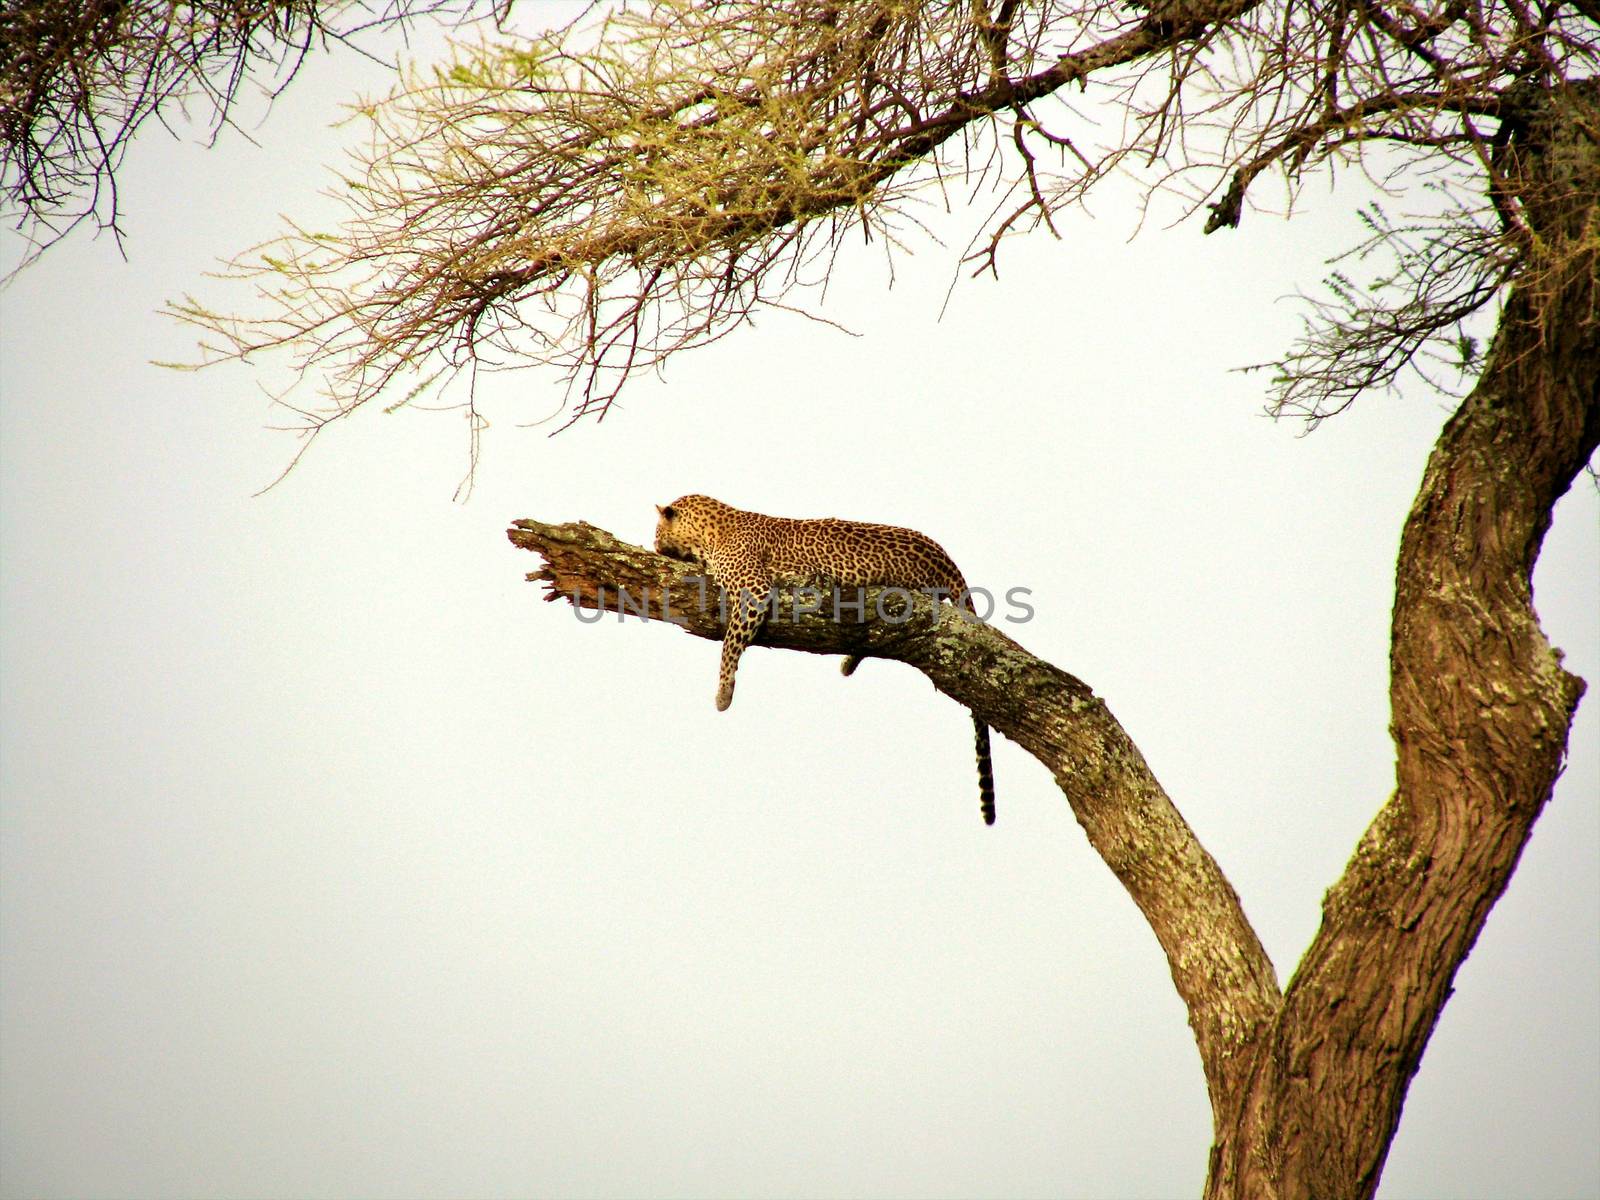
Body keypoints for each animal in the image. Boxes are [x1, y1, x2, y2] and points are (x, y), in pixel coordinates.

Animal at [656, 496, 992, 825]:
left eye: (658, 531)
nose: (655, 545)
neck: (712, 528)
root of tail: (944, 555)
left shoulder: (755, 589)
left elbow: (731, 643)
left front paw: (724, 693)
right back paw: (848, 663)